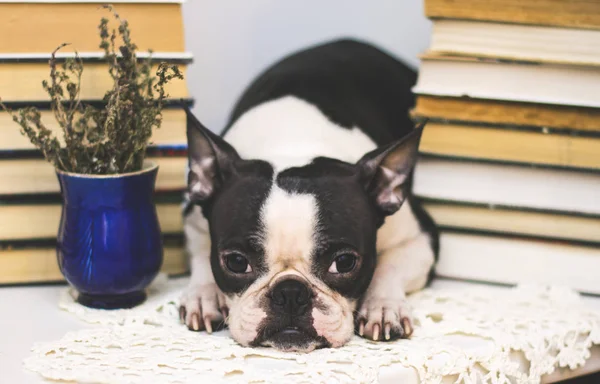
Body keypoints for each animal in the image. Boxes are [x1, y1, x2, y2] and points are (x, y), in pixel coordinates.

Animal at [177, 38, 436, 352]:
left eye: (345, 262)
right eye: (236, 262)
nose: (290, 292)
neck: (294, 141)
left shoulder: (420, 236)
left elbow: (391, 265)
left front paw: (383, 305)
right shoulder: (194, 219)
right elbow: (202, 254)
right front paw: (205, 295)